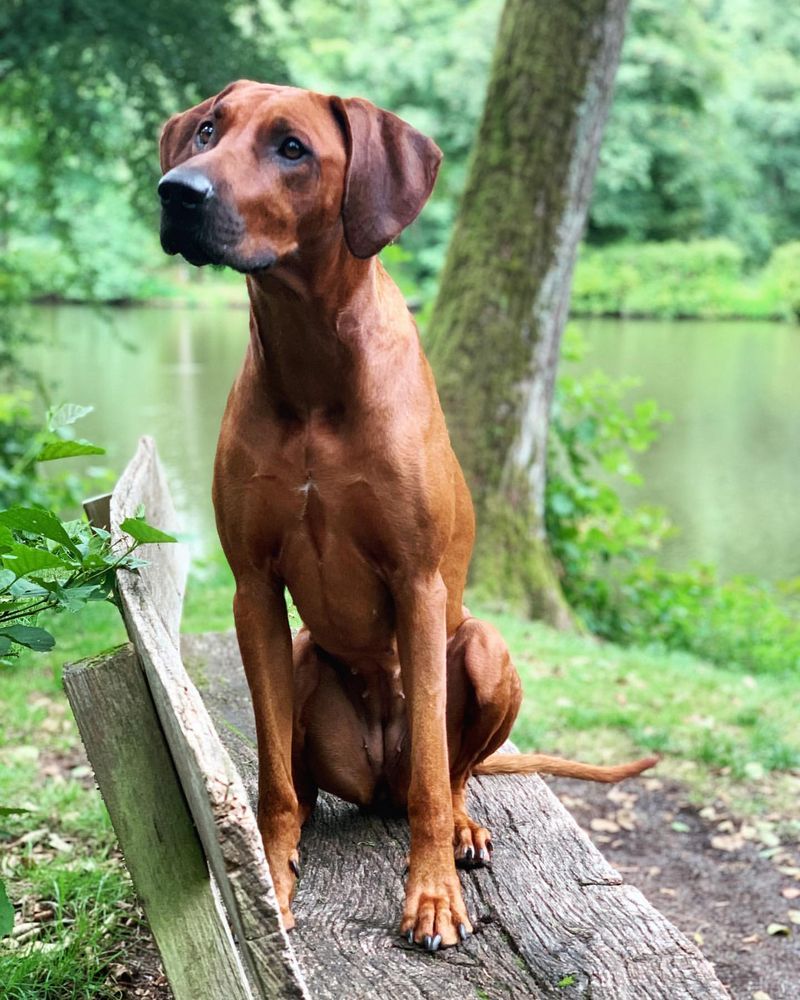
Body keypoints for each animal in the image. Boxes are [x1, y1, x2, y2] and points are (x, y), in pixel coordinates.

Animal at [158, 82, 656, 948]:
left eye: (292, 148)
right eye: (208, 131)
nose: (176, 192)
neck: (313, 368)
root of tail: (376, 782)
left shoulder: (419, 583)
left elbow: (431, 762)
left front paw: (430, 895)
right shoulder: (253, 588)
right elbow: (273, 774)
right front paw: (271, 877)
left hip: (486, 649)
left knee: (448, 773)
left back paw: (460, 828)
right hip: (300, 654)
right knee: (306, 773)